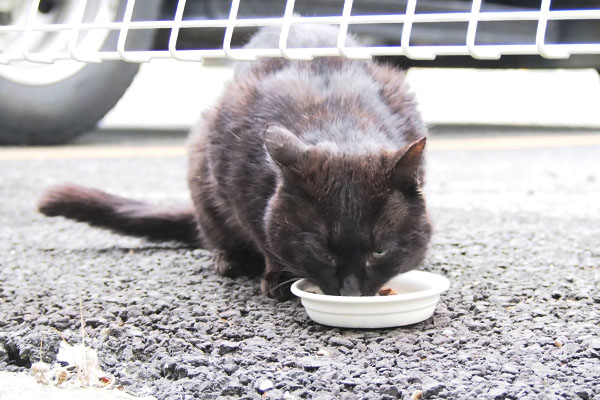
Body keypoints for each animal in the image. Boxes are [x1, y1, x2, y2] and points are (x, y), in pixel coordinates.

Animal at [37, 25, 432, 300]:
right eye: (321, 250)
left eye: (380, 250)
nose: (351, 292)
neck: (339, 120)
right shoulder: (233, 180)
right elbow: (263, 235)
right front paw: (276, 277)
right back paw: (230, 260)